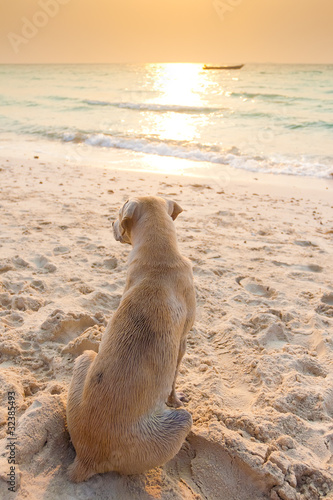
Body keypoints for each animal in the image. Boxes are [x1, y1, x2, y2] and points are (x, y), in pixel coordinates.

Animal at [66, 194, 195, 480]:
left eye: (117, 213)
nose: (110, 222)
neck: (158, 256)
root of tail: (86, 458)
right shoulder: (182, 343)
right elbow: (174, 382)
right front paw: (175, 398)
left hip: (86, 359)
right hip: (180, 422)